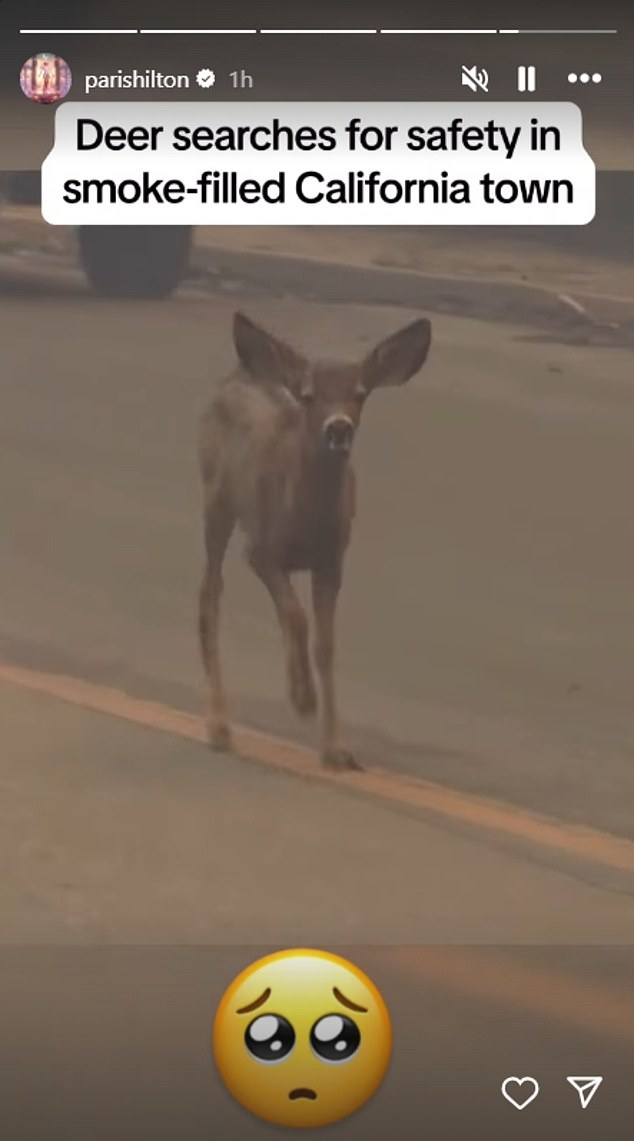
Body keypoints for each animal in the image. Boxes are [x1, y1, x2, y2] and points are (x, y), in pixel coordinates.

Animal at [198, 312, 433, 771]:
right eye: (308, 395)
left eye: (360, 393)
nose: (338, 428)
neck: (306, 520)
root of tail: (238, 372)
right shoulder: (261, 549)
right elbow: (296, 617)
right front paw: (303, 698)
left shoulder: (333, 559)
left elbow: (326, 644)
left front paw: (336, 748)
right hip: (216, 501)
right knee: (210, 595)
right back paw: (219, 727)